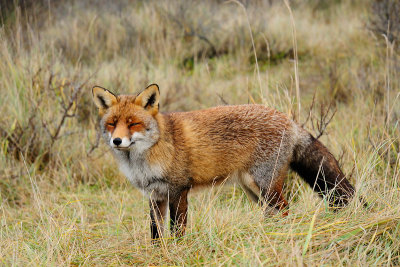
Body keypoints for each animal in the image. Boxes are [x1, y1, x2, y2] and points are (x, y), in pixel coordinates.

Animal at [92, 84, 354, 241]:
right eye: (112, 123)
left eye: (133, 123)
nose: (117, 141)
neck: (144, 161)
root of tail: (288, 119)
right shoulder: (154, 195)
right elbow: (156, 233)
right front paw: (158, 254)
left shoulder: (178, 189)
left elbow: (177, 230)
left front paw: (176, 251)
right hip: (253, 191)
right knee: (274, 213)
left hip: (264, 186)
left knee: (285, 209)